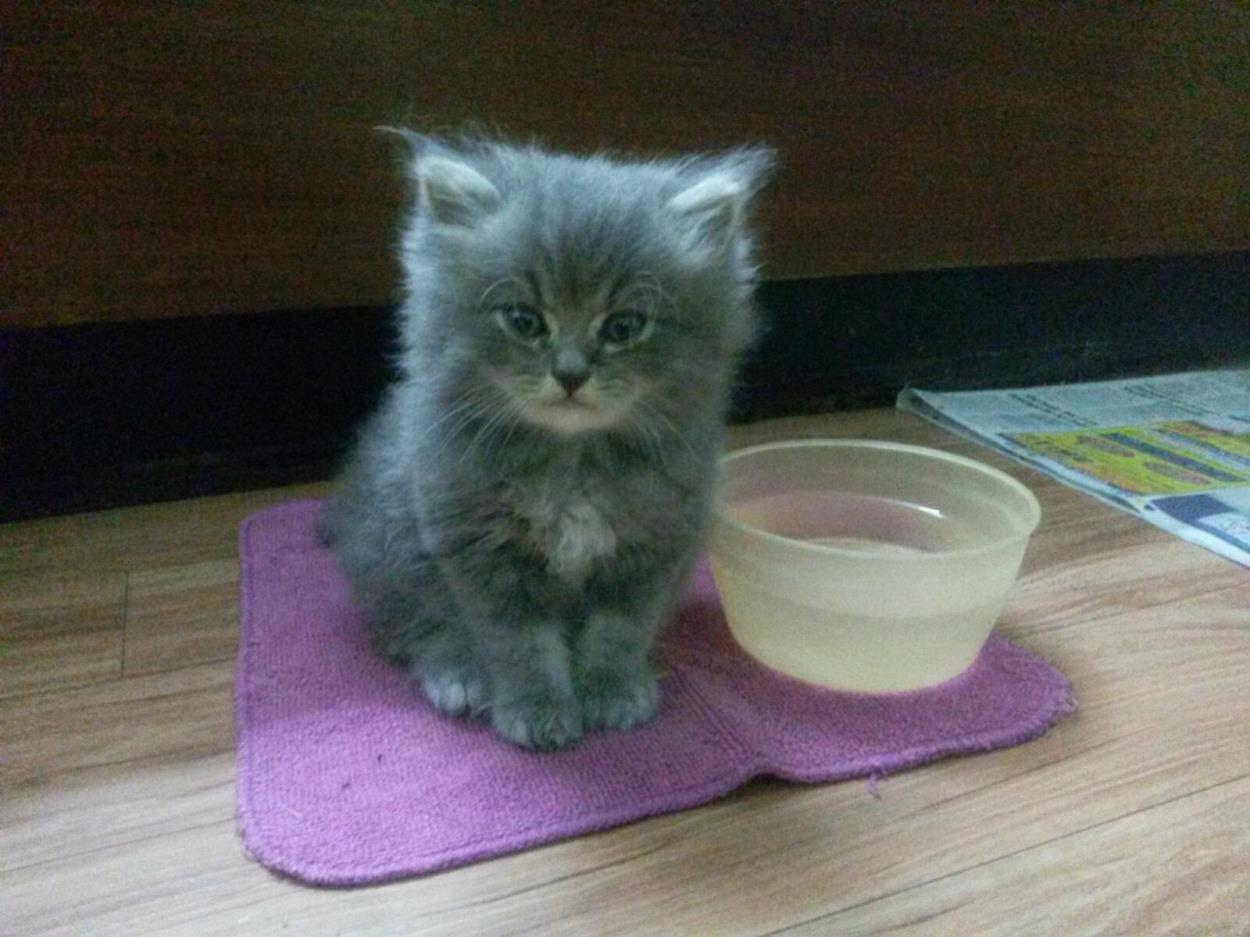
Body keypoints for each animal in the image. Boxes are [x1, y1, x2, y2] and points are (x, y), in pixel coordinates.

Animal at [318, 133, 771, 748]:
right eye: (524, 321)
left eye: (623, 327)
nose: (571, 374)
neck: (573, 464)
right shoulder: (480, 549)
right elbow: (519, 645)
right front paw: (536, 710)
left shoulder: (653, 548)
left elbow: (618, 634)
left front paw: (611, 691)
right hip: (396, 546)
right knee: (416, 629)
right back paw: (459, 675)